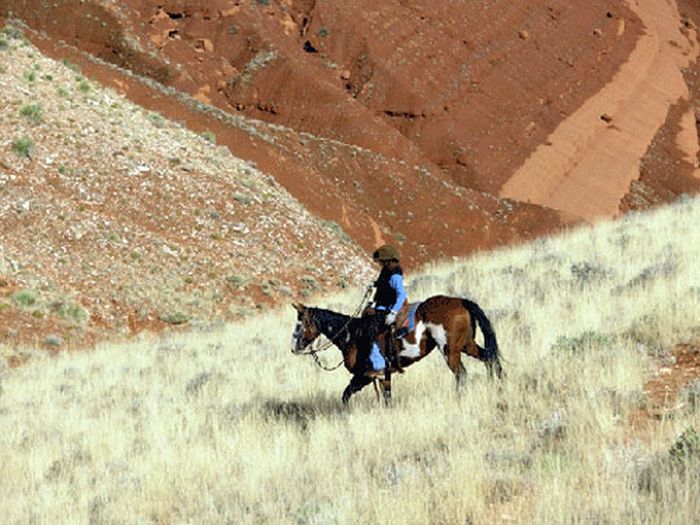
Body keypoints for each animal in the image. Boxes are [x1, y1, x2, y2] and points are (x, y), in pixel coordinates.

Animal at [292, 296, 504, 404]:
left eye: (301, 323)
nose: (294, 347)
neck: (352, 334)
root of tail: (460, 301)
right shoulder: (383, 376)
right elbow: (387, 398)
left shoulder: (364, 376)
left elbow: (346, 395)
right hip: (467, 345)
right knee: (489, 357)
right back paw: (497, 385)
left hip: (450, 351)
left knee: (461, 374)